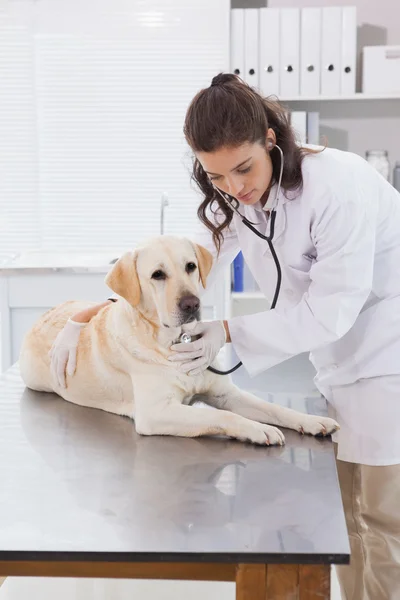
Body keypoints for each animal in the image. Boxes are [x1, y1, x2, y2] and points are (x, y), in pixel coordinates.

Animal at [18, 234, 338, 446]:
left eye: (191, 266)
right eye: (157, 274)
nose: (191, 304)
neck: (175, 342)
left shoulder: (226, 395)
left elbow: (275, 409)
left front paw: (312, 421)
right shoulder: (155, 413)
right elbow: (227, 418)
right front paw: (259, 429)